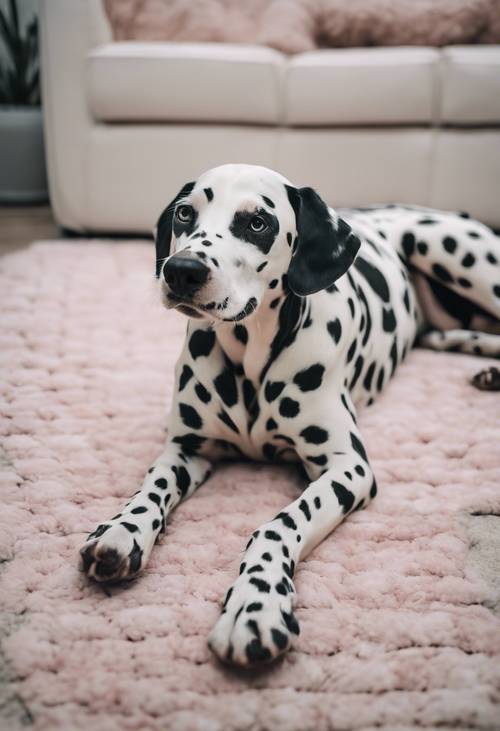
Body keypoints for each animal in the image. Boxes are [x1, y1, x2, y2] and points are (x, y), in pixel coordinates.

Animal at [79, 163, 500, 668]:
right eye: (185, 214)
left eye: (258, 223)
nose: (181, 270)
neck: (250, 359)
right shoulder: (185, 448)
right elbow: (150, 489)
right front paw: (122, 530)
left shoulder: (348, 468)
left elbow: (278, 526)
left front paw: (255, 606)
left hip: (453, 253)